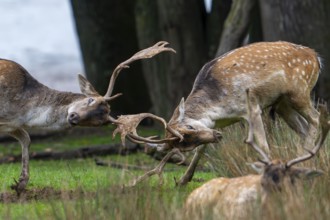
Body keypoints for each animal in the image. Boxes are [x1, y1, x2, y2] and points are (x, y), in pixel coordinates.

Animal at [0, 41, 175, 194]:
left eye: (99, 122)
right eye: (91, 100)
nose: (73, 116)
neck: (24, 108)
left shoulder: (12, 124)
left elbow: (26, 139)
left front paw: (20, 184)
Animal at [113, 40, 322, 186]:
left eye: (190, 127)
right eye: (185, 145)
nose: (217, 136)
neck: (218, 105)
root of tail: (317, 57)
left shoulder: (252, 107)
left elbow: (263, 145)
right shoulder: (217, 123)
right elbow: (201, 150)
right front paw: (183, 180)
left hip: (299, 91)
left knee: (316, 118)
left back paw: (304, 161)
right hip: (282, 103)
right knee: (304, 127)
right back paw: (308, 162)